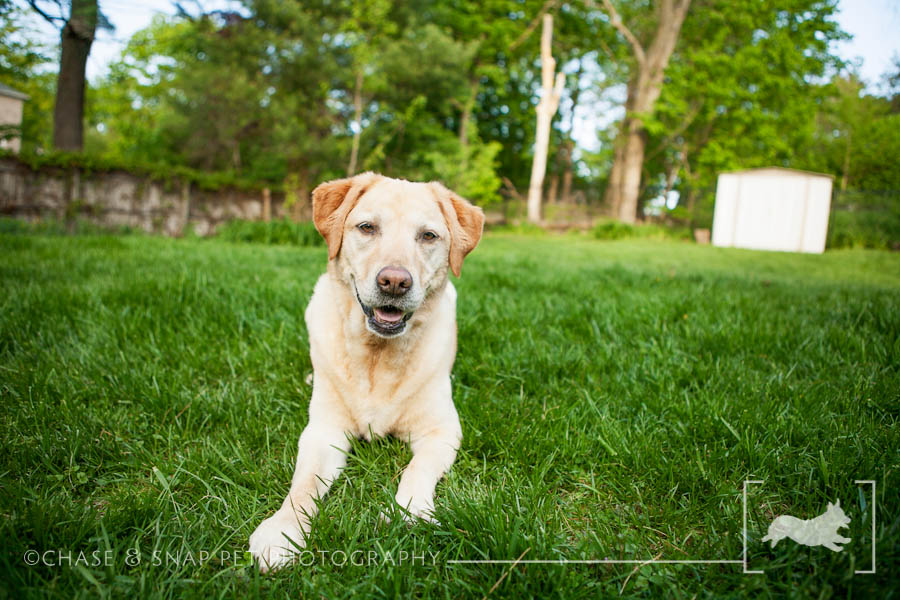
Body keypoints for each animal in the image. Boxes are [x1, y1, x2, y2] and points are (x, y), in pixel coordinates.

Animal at [246, 172, 486, 572]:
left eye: (428, 236)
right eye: (367, 228)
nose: (395, 282)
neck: (377, 356)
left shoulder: (442, 431)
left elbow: (417, 469)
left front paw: (409, 512)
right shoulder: (323, 433)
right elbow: (303, 485)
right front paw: (282, 532)